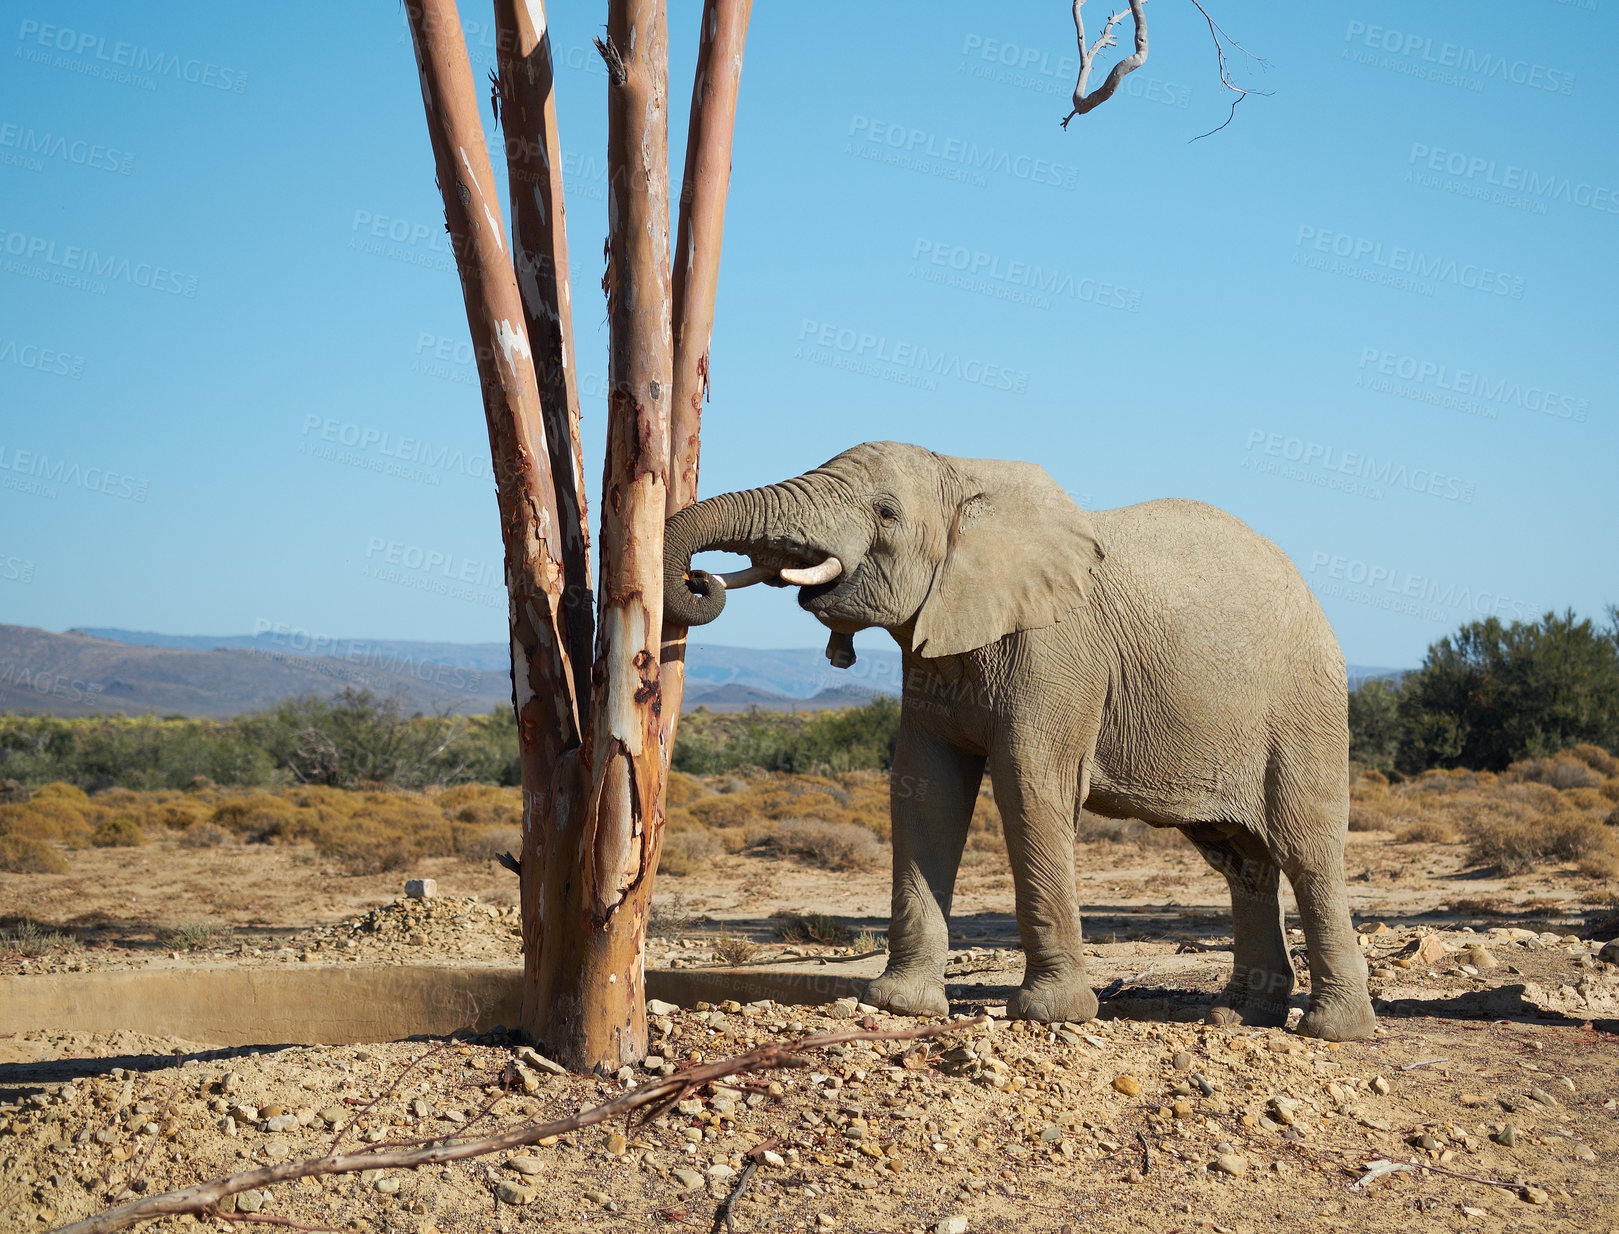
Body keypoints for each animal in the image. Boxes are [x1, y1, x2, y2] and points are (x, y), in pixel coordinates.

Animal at [663, 437, 1372, 1036]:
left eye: (886, 514)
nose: (702, 581)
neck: (963, 474)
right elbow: (926, 791)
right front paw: (898, 1006)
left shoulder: (1055, 654)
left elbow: (1031, 786)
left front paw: (1050, 1014)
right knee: (1242, 861)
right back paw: (1239, 1015)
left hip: (1303, 706)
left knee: (1306, 850)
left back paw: (1331, 1030)